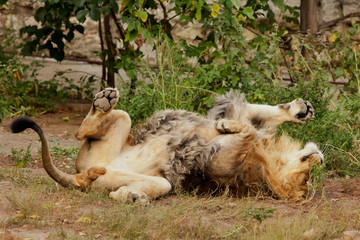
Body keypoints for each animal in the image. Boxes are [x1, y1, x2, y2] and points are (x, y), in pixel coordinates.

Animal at [11, 88, 324, 202]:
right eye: (307, 176)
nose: (319, 159)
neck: (270, 157)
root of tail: (78, 176)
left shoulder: (221, 163)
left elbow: (247, 132)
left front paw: (229, 128)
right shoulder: (239, 114)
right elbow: (263, 116)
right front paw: (302, 109)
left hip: (154, 181)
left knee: (116, 188)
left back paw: (130, 196)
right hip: (121, 122)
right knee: (85, 130)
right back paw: (104, 99)